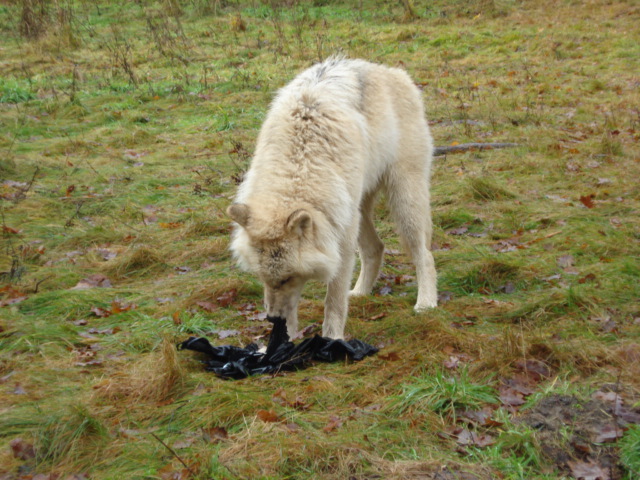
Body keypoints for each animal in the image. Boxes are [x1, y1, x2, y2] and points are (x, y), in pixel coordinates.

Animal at [228, 56, 438, 340]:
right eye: (263, 278)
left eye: (287, 278)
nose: (271, 318)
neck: (298, 166)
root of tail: (394, 72)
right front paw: (285, 340)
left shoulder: (340, 243)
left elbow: (334, 301)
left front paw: (331, 340)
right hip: (357, 211)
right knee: (376, 247)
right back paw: (360, 293)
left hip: (402, 201)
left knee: (424, 254)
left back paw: (426, 302)